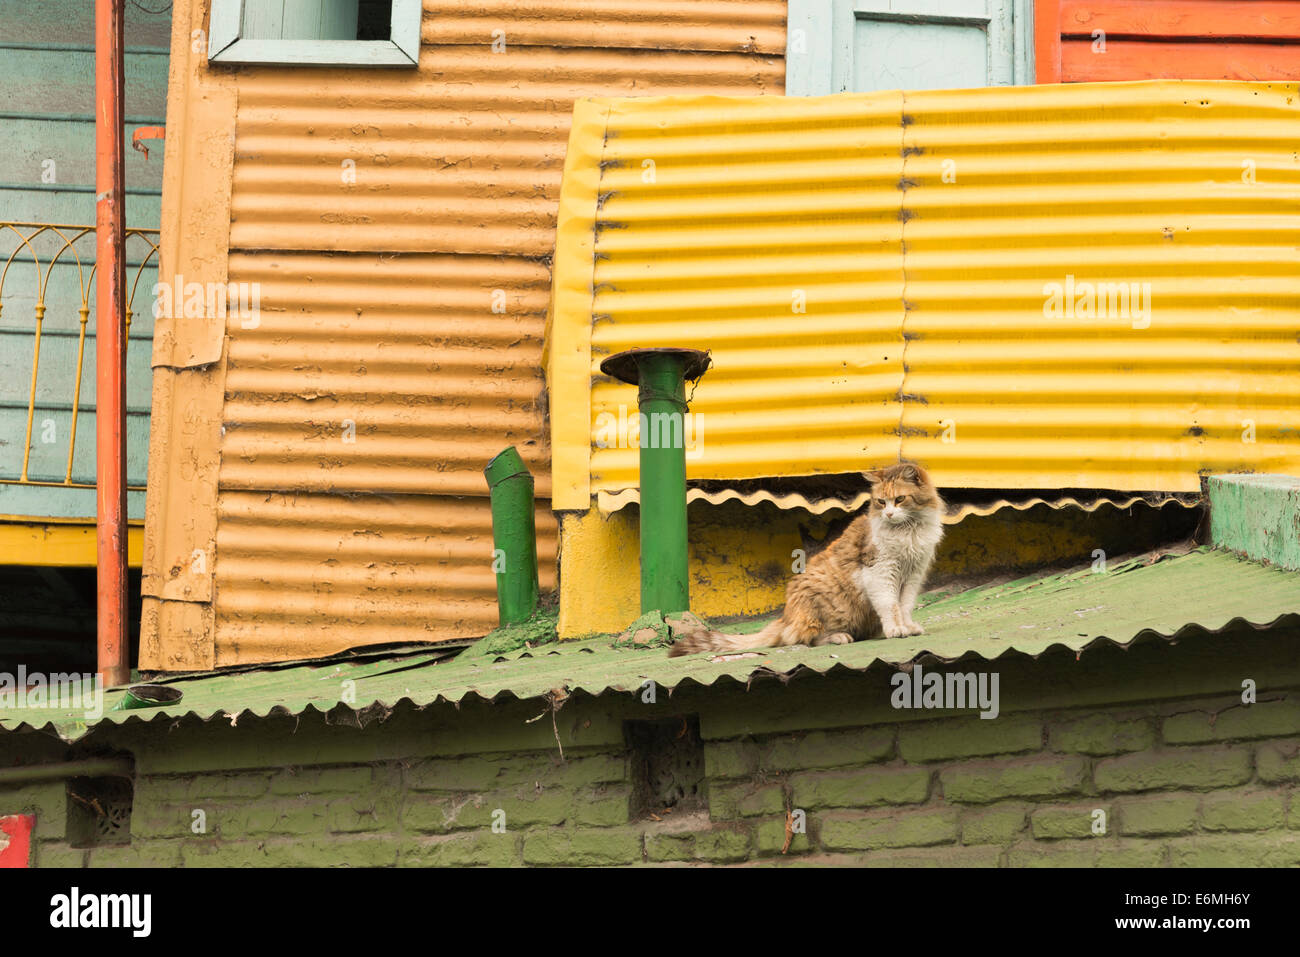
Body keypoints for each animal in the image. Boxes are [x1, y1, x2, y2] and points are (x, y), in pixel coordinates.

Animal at [670, 462, 946, 657]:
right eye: (881, 501)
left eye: (899, 499)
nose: (888, 514)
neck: (909, 530)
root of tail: (785, 618)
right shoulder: (880, 572)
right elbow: (890, 606)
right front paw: (895, 630)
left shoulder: (913, 575)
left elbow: (905, 606)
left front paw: (908, 627)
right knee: (806, 638)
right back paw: (839, 637)